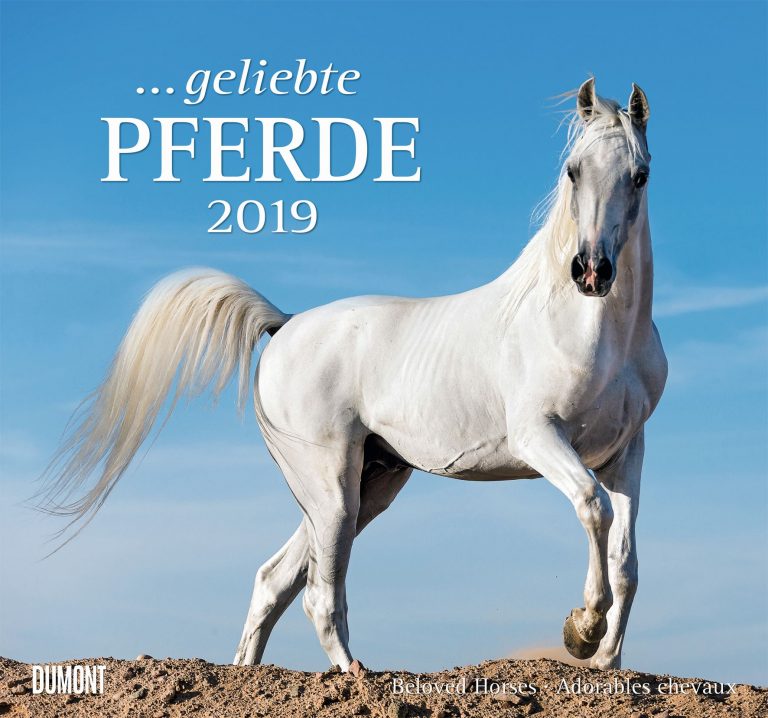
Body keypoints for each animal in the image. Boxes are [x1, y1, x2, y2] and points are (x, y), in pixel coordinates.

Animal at [39, 78, 667, 673]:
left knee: (275, 580)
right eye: (573, 170)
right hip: (332, 487)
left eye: (640, 176)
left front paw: (606, 661)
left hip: (368, 485)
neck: (589, 331)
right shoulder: (539, 437)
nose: (592, 272)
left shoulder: (625, 452)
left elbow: (628, 561)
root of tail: (284, 324)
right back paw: (353, 673)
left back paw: (248, 671)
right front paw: (582, 630)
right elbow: (592, 507)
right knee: (318, 593)